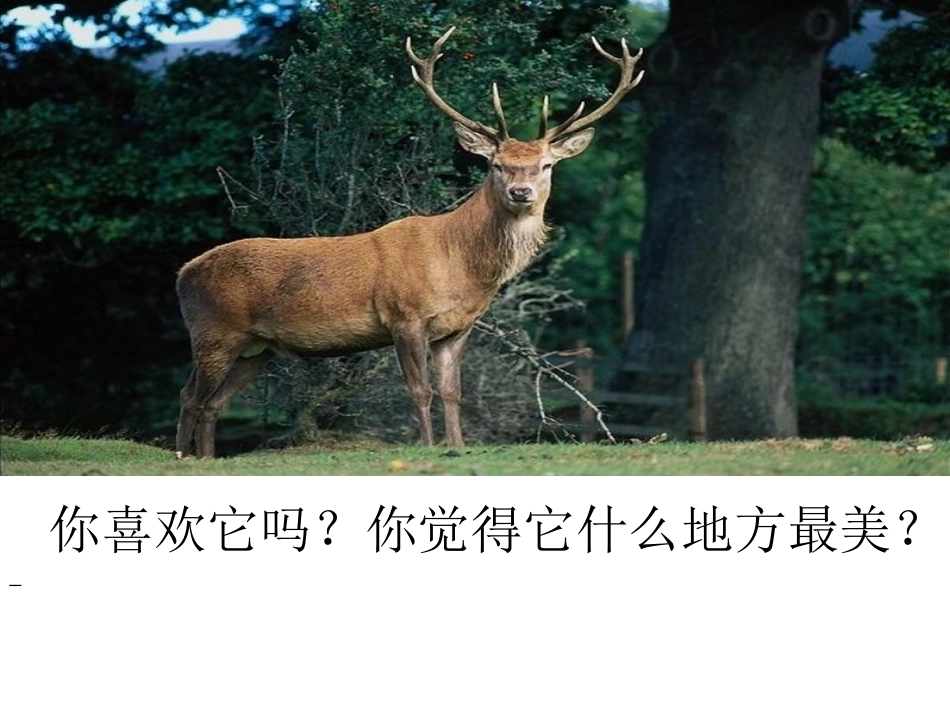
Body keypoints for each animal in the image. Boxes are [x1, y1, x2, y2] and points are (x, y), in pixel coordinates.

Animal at [175, 26, 643, 458]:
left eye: (546, 165)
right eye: (495, 165)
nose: (521, 192)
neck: (461, 267)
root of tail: (182, 273)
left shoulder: (457, 328)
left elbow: (453, 392)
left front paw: (458, 445)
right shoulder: (404, 316)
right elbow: (420, 390)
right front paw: (430, 446)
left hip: (257, 348)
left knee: (212, 403)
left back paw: (206, 458)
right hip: (214, 331)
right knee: (190, 396)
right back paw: (183, 455)